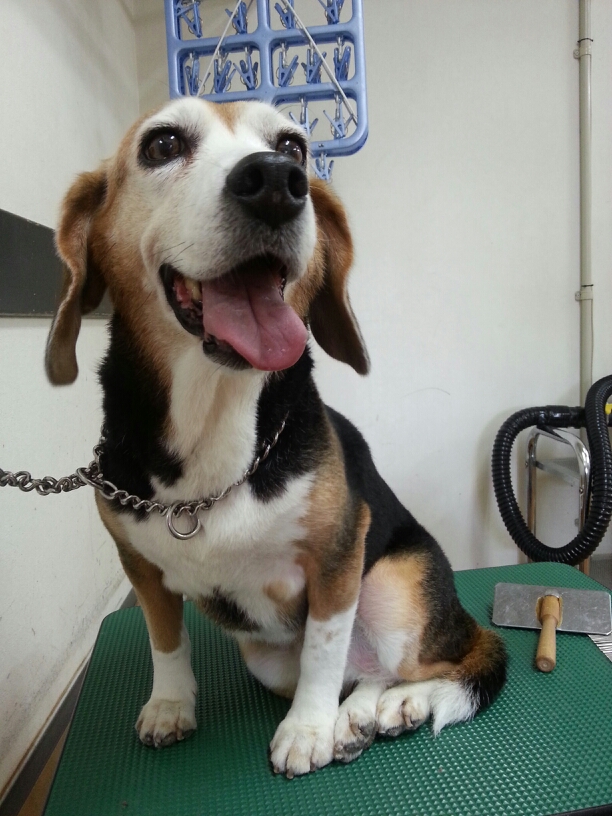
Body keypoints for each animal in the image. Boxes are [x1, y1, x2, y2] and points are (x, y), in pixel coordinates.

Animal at [45, 97, 506, 778]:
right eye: (162, 144)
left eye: (294, 147)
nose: (274, 183)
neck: (215, 417)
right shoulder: (141, 569)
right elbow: (165, 641)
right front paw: (171, 705)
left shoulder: (338, 557)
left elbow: (323, 649)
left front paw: (307, 732)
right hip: (263, 660)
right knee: (363, 674)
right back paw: (359, 717)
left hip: (395, 591)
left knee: (436, 659)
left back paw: (395, 707)